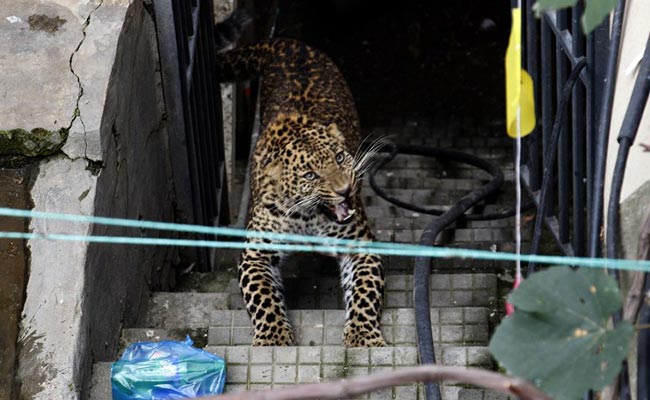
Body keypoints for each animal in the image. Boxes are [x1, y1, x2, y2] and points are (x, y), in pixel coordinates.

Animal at [213, 17, 384, 346]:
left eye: (339, 158)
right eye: (310, 175)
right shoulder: (256, 253)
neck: (307, 217)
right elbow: (264, 299)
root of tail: (288, 45)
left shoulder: (361, 245)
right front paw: (274, 337)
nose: (346, 190)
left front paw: (362, 335)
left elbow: (364, 293)